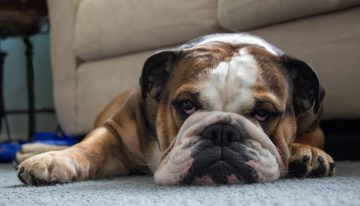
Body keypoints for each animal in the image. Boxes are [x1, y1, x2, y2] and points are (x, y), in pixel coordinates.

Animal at [14, 33, 334, 186]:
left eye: (263, 113)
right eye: (187, 105)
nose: (222, 131)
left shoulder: (314, 122)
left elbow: (310, 137)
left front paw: (306, 152)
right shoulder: (115, 131)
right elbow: (90, 146)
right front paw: (55, 160)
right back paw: (32, 150)